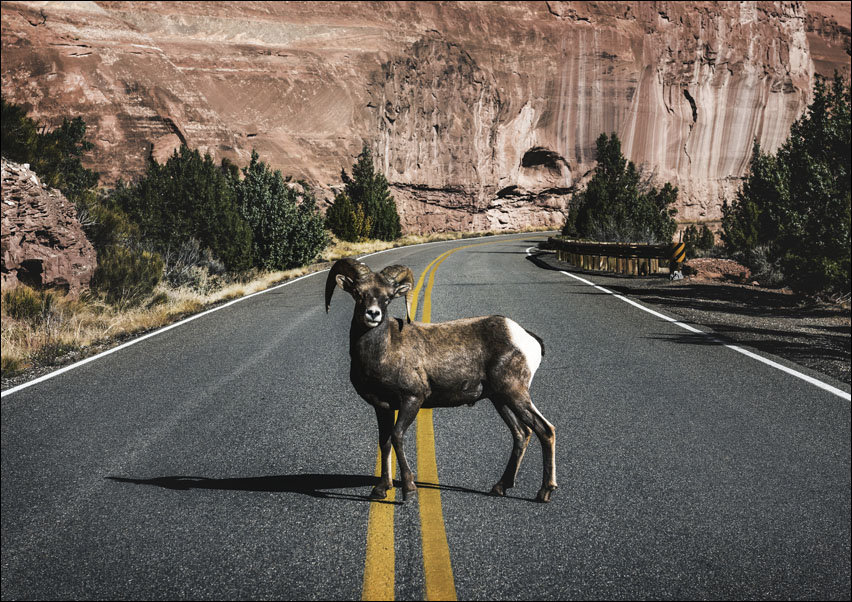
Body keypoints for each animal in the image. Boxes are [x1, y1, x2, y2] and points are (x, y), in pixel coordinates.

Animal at [325, 257, 557, 503]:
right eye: (359, 293)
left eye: (387, 297)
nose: (373, 314)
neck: (383, 351)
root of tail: (525, 337)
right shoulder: (382, 407)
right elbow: (385, 442)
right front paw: (380, 489)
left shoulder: (412, 399)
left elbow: (397, 437)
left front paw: (409, 490)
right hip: (500, 399)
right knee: (521, 434)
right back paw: (500, 487)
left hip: (515, 393)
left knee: (545, 430)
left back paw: (544, 492)